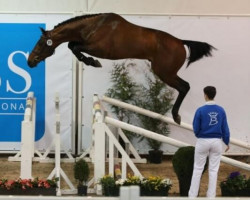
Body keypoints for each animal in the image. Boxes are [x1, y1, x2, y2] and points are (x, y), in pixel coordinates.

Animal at [27, 12, 215, 124]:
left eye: (41, 43)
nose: (30, 61)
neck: (93, 26)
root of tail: (181, 42)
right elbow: (72, 45)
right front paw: (90, 61)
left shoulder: (98, 48)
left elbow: (74, 47)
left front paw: (93, 62)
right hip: (165, 72)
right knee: (184, 86)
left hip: (165, 72)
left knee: (185, 86)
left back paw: (176, 115)